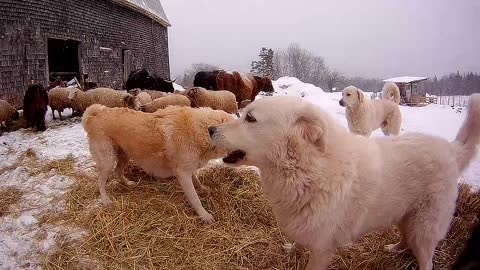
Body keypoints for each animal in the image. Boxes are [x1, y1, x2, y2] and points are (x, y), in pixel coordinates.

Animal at [83, 104, 234, 223]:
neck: (201, 131)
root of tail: (94, 115)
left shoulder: (188, 169)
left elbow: (196, 180)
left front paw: (202, 188)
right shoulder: (183, 174)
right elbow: (195, 199)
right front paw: (204, 215)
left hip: (124, 155)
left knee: (118, 171)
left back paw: (129, 183)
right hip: (107, 160)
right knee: (100, 182)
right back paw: (105, 199)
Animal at [209, 94, 480, 268]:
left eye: (251, 119)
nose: (210, 129)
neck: (307, 170)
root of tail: (450, 149)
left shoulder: (321, 250)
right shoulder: (305, 228)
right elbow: (298, 241)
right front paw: (292, 250)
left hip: (424, 229)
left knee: (425, 259)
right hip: (406, 217)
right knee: (406, 239)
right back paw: (394, 248)